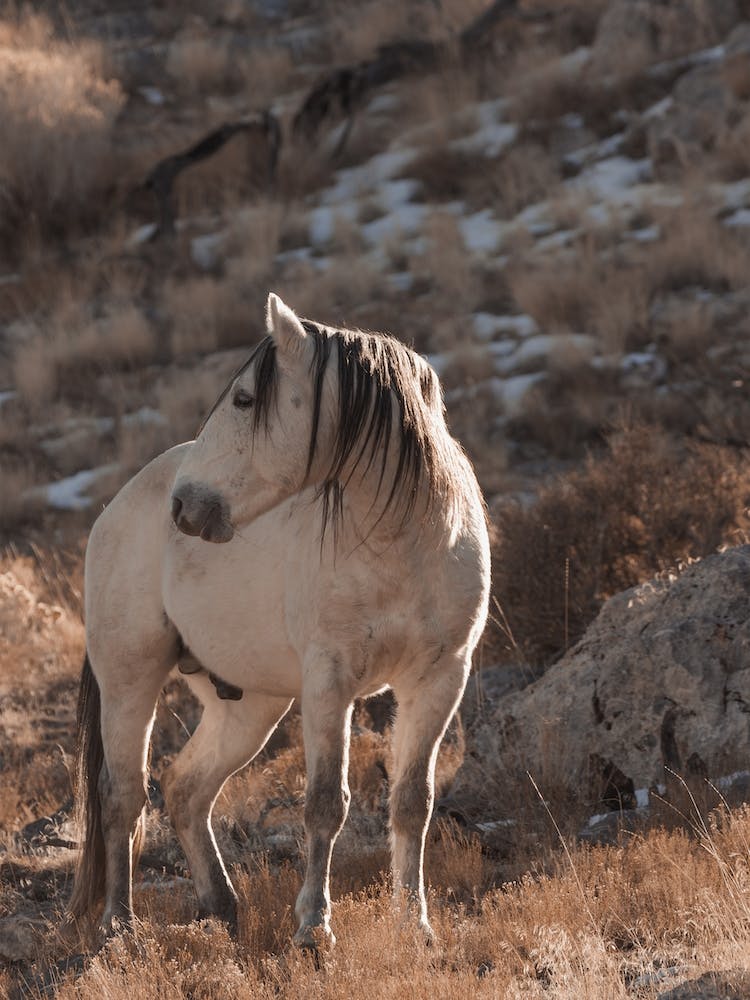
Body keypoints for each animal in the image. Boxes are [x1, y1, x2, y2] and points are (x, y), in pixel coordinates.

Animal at [69, 292, 490, 948]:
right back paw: (120, 925)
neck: (404, 545)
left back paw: (220, 908)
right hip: (129, 682)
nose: (185, 506)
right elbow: (325, 804)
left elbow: (411, 801)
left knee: (185, 790)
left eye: (244, 399)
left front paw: (414, 925)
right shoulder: (329, 683)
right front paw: (314, 927)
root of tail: (114, 511)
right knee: (123, 797)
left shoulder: (440, 679)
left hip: (249, 704)